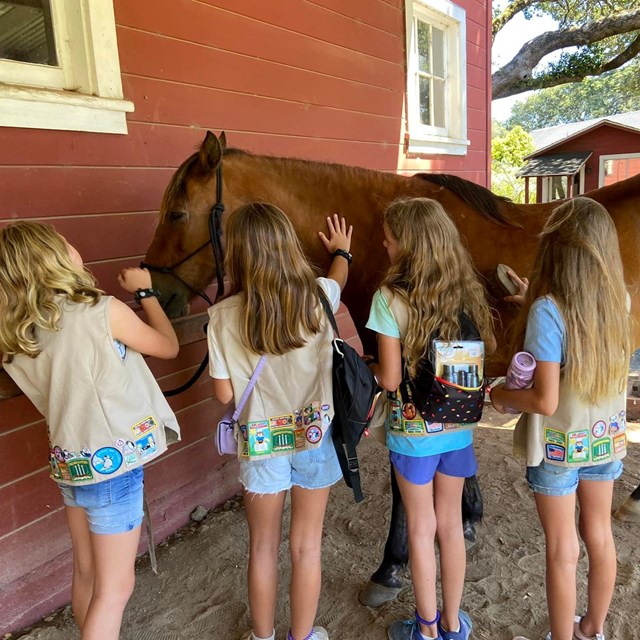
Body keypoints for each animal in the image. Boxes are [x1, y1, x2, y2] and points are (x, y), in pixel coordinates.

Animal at [143, 131, 640, 605]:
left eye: (177, 214)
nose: (157, 295)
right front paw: (468, 517)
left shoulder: (400, 378)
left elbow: (407, 477)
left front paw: (392, 565)